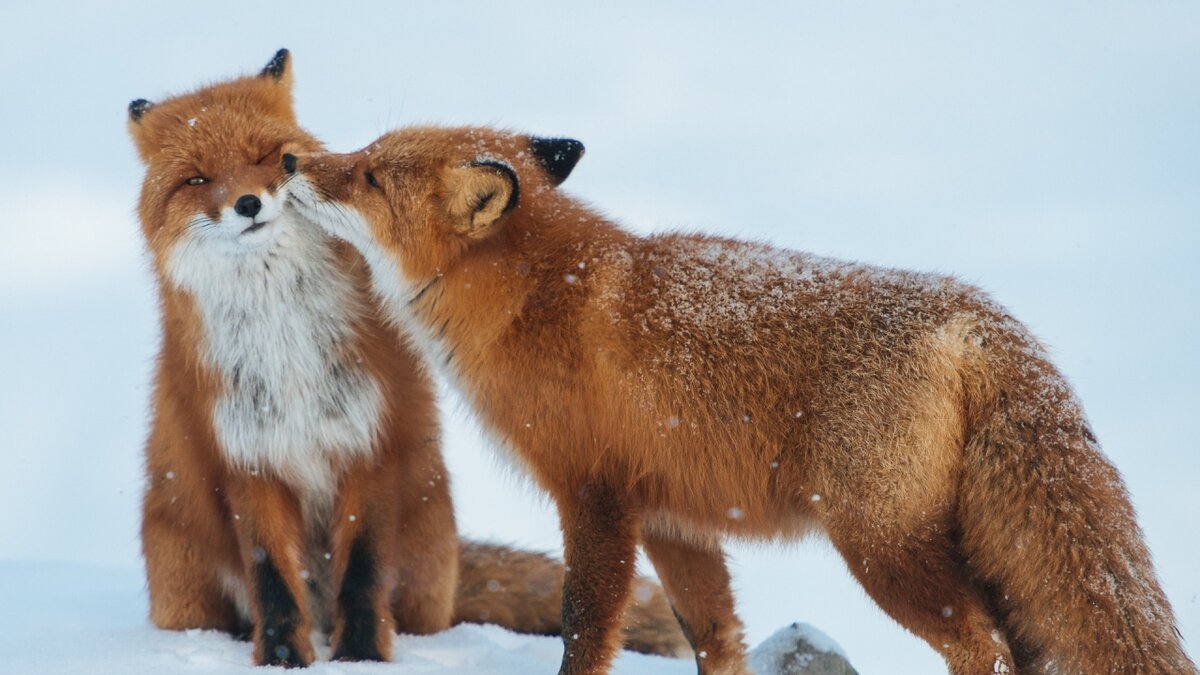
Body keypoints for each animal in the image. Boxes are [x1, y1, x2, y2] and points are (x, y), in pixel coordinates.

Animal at [124, 49, 686, 662]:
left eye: (265, 156)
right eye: (196, 179)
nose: (248, 203)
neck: (286, 344)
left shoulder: (372, 440)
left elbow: (363, 570)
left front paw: (361, 657)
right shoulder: (248, 458)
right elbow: (272, 580)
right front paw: (283, 661)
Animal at [285, 126, 1195, 672]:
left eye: (367, 173)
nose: (292, 163)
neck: (536, 299)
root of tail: (976, 314)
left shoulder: (596, 498)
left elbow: (584, 629)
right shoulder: (674, 519)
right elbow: (715, 637)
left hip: (884, 549)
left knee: (985, 646)